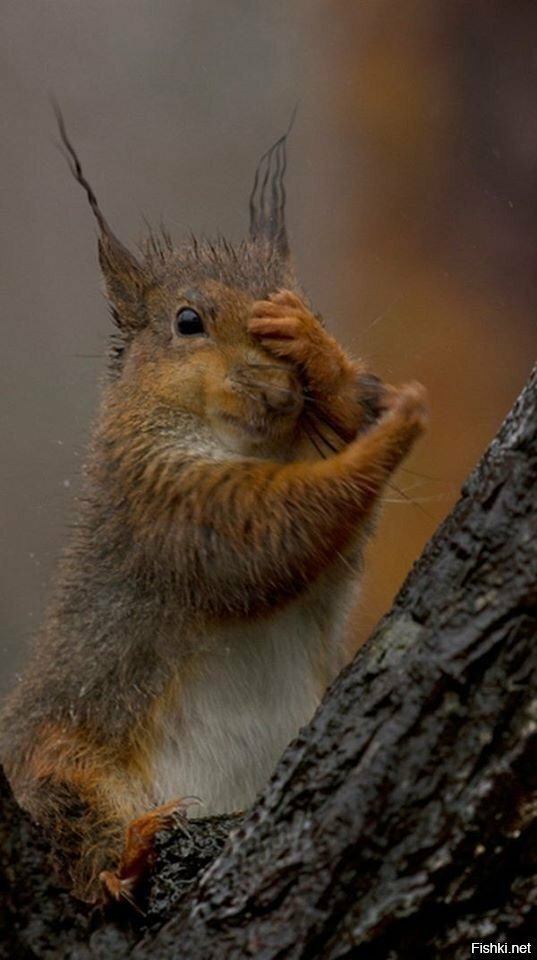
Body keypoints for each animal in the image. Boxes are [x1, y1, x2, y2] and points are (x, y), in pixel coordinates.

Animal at [0, 116, 428, 904]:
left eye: (308, 301)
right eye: (188, 321)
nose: (277, 383)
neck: (254, 443)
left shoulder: (309, 437)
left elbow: (349, 416)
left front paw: (323, 357)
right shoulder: (162, 501)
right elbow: (262, 537)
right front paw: (398, 427)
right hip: (61, 763)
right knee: (79, 831)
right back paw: (131, 851)